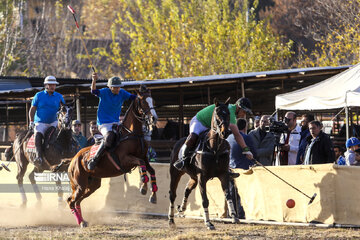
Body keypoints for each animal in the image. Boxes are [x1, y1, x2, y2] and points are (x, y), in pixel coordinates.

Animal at [67, 87, 158, 227]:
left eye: (152, 100)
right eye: (143, 102)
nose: (154, 118)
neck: (132, 134)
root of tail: (72, 160)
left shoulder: (144, 157)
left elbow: (151, 170)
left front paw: (153, 195)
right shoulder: (126, 159)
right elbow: (140, 163)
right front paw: (143, 186)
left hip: (91, 185)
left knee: (76, 201)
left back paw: (83, 221)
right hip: (79, 184)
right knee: (71, 201)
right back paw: (81, 222)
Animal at [168, 98, 239, 231]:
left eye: (228, 114)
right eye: (217, 114)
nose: (225, 132)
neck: (215, 149)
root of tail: (177, 143)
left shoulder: (223, 175)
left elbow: (228, 195)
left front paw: (234, 216)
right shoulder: (202, 177)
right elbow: (205, 200)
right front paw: (208, 223)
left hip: (193, 177)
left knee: (187, 189)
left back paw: (182, 208)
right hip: (175, 173)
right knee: (172, 194)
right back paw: (171, 220)